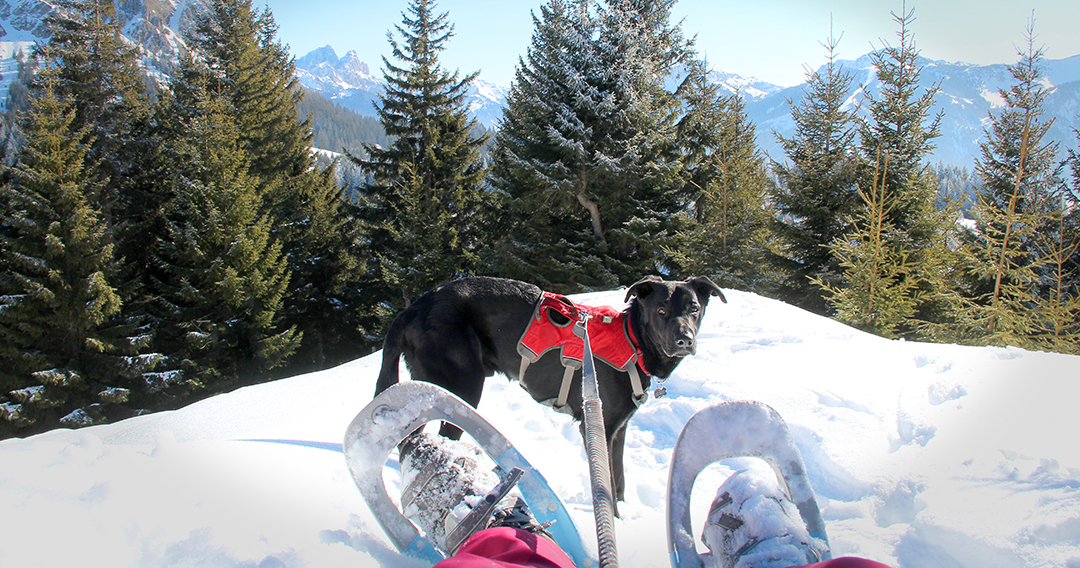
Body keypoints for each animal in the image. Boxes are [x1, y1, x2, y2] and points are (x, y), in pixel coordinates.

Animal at [373, 276, 725, 503]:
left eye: (694, 308)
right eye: (661, 311)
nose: (684, 340)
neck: (633, 340)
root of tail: (413, 308)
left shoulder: (617, 429)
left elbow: (620, 481)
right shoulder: (596, 426)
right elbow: (607, 484)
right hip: (463, 386)